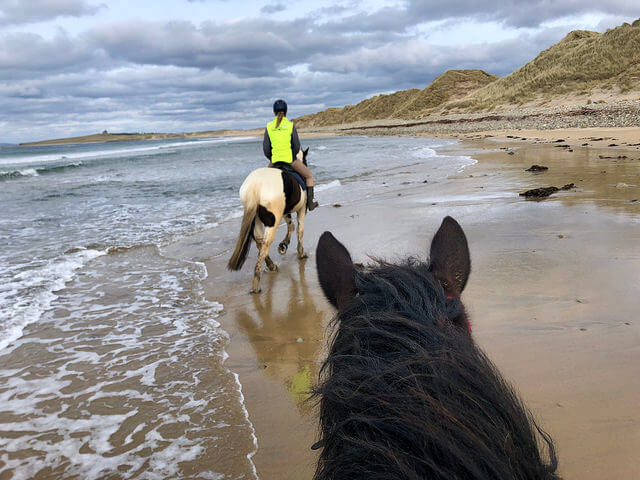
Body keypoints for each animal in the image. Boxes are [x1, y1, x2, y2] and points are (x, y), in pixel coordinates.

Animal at [229, 146, 312, 292]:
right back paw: (257, 283)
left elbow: (291, 225)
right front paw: (300, 252)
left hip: (257, 219)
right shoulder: (301, 209)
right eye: (305, 161)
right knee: (265, 244)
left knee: (260, 241)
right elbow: (299, 230)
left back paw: (271, 266)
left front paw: (283, 245)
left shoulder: (285, 212)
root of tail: (255, 186)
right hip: (272, 221)